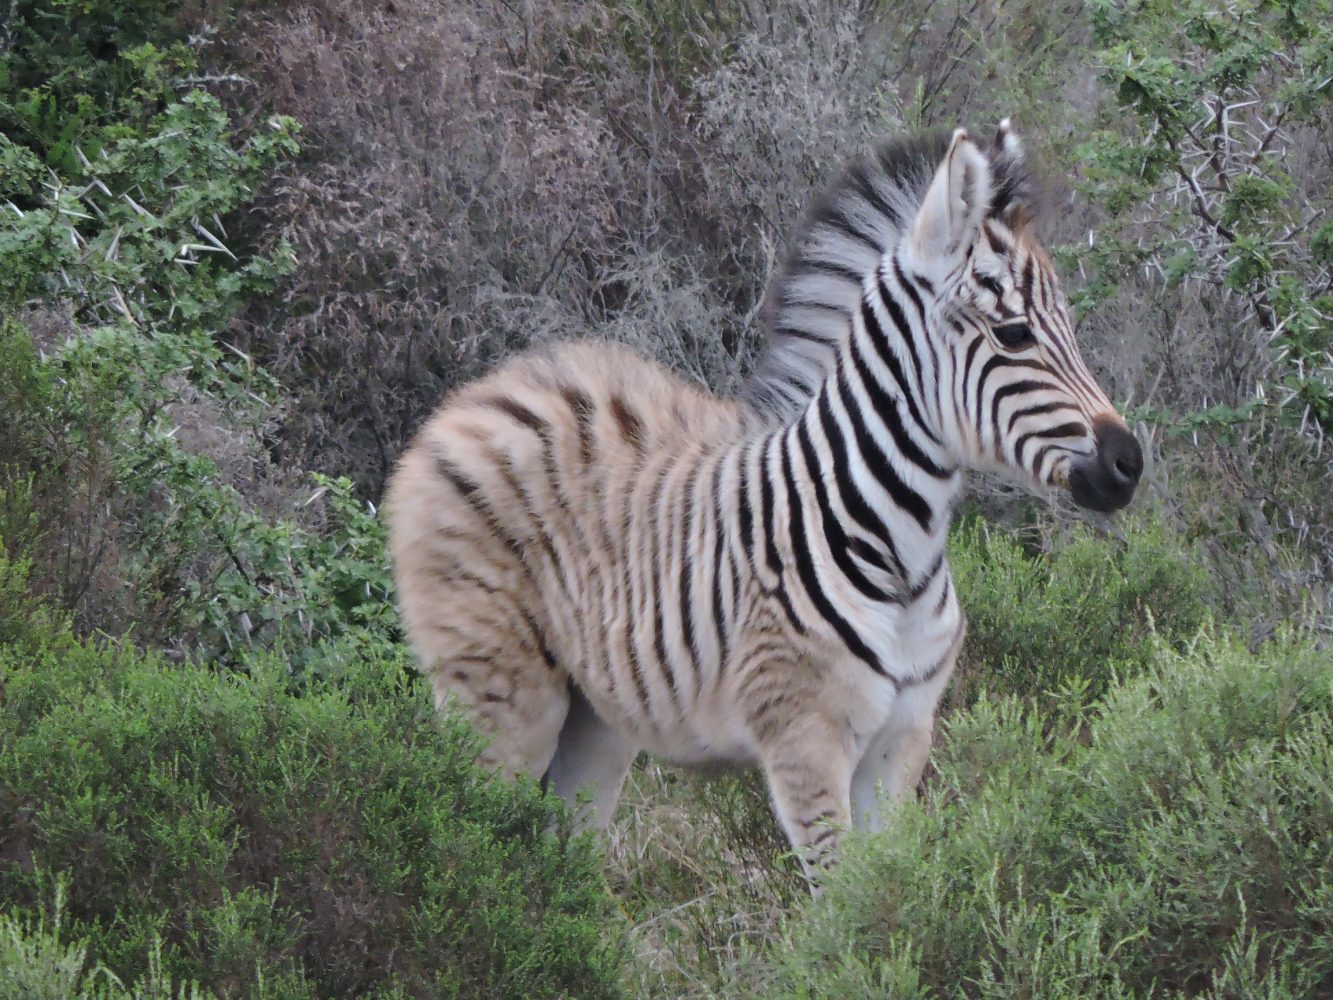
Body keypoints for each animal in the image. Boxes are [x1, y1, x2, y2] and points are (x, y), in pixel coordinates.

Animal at [386, 123, 1146, 869]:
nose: (1128, 463)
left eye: (1068, 324)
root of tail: (472, 399)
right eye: (1013, 334)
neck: (894, 546)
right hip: (497, 700)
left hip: (593, 721)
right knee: (477, 854)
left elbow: (891, 887)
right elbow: (844, 902)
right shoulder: (804, 743)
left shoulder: (902, 741)